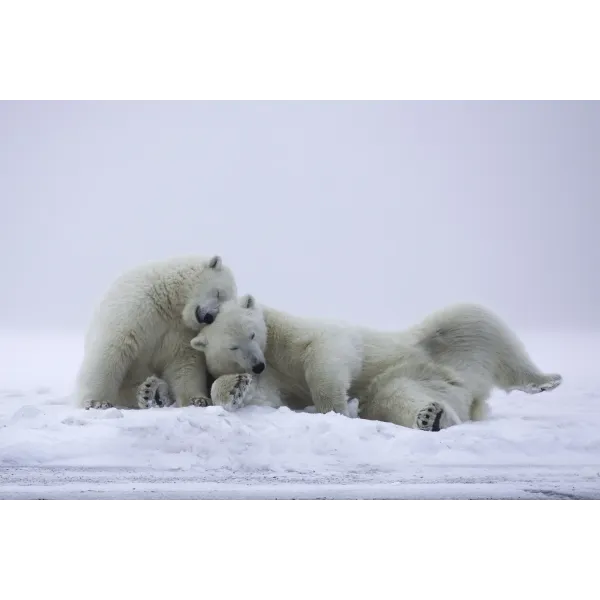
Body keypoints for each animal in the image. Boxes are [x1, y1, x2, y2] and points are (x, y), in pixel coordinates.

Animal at [74, 255, 236, 410]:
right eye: (218, 293)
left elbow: (185, 361)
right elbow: (112, 350)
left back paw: (153, 392)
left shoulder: (182, 331)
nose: (209, 317)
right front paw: (96, 402)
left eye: (221, 309)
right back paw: (147, 392)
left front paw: (198, 400)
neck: (169, 302)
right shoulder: (137, 309)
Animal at [189, 296, 564, 432]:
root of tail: (470, 392)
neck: (274, 353)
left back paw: (545, 380)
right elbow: (265, 394)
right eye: (233, 346)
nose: (256, 366)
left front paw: (334, 407)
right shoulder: (274, 375)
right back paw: (431, 416)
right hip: (415, 379)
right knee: (398, 397)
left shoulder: (295, 334)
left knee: (476, 319)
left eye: (253, 334)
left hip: (438, 340)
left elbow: (328, 351)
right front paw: (235, 388)